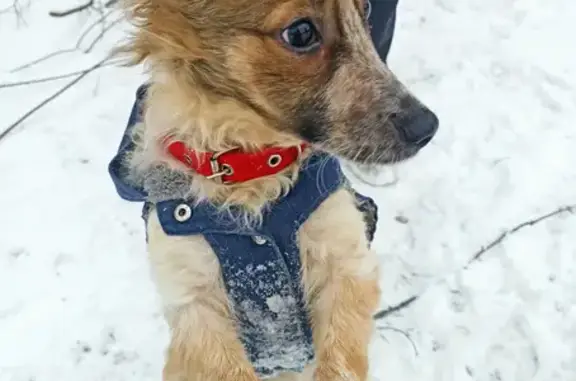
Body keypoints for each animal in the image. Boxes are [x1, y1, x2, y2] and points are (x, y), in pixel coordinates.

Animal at [108, 0, 438, 380]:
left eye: (366, 9)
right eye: (301, 33)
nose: (427, 127)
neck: (251, 168)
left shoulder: (345, 262)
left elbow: (340, 362)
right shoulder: (194, 303)